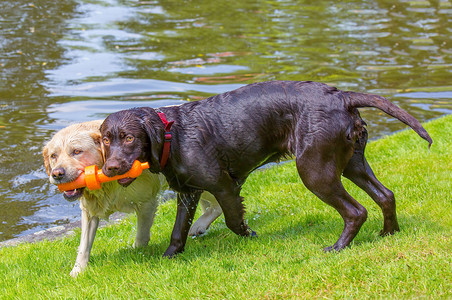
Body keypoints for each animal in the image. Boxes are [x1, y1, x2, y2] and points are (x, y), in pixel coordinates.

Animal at [100, 81, 432, 256]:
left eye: (129, 138)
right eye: (105, 139)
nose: (111, 167)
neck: (173, 135)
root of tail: (342, 95)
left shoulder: (224, 186)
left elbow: (234, 221)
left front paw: (252, 236)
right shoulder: (188, 192)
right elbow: (178, 230)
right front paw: (170, 256)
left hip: (314, 170)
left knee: (356, 211)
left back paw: (337, 248)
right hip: (352, 163)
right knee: (386, 195)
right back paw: (388, 233)